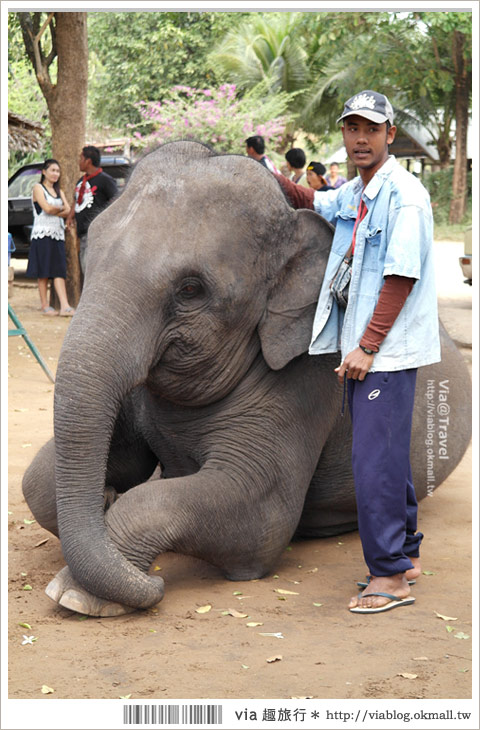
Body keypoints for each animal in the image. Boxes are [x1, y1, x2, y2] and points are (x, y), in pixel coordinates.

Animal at [22, 141, 472, 616]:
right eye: (89, 254)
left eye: (190, 290)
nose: (152, 584)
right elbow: (43, 479)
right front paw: (108, 497)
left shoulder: (307, 383)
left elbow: (259, 514)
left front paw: (78, 595)